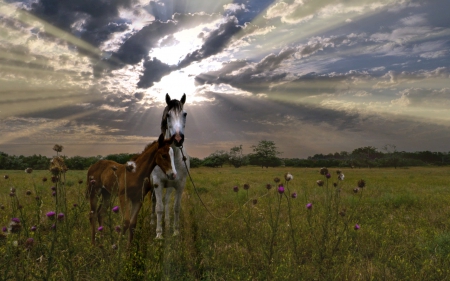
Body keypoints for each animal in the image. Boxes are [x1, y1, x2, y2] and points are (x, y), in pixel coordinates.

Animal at [149, 94, 188, 238]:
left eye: (184, 114)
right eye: (168, 115)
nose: (178, 139)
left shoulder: (179, 184)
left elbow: (176, 207)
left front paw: (175, 231)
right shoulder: (157, 183)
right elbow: (159, 208)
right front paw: (159, 234)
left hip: (170, 187)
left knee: (166, 201)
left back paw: (167, 223)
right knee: (155, 202)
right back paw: (153, 223)